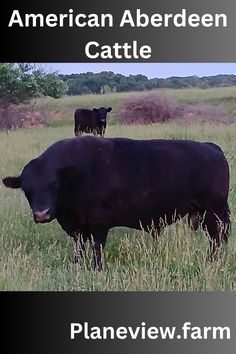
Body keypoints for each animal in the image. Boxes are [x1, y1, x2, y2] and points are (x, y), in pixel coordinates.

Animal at [2, 137, 230, 270]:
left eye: (54, 185)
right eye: (26, 190)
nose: (42, 214)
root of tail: (210, 146)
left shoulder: (98, 222)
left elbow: (97, 246)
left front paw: (97, 268)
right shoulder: (75, 226)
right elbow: (79, 246)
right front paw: (77, 265)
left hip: (213, 211)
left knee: (216, 238)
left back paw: (213, 261)